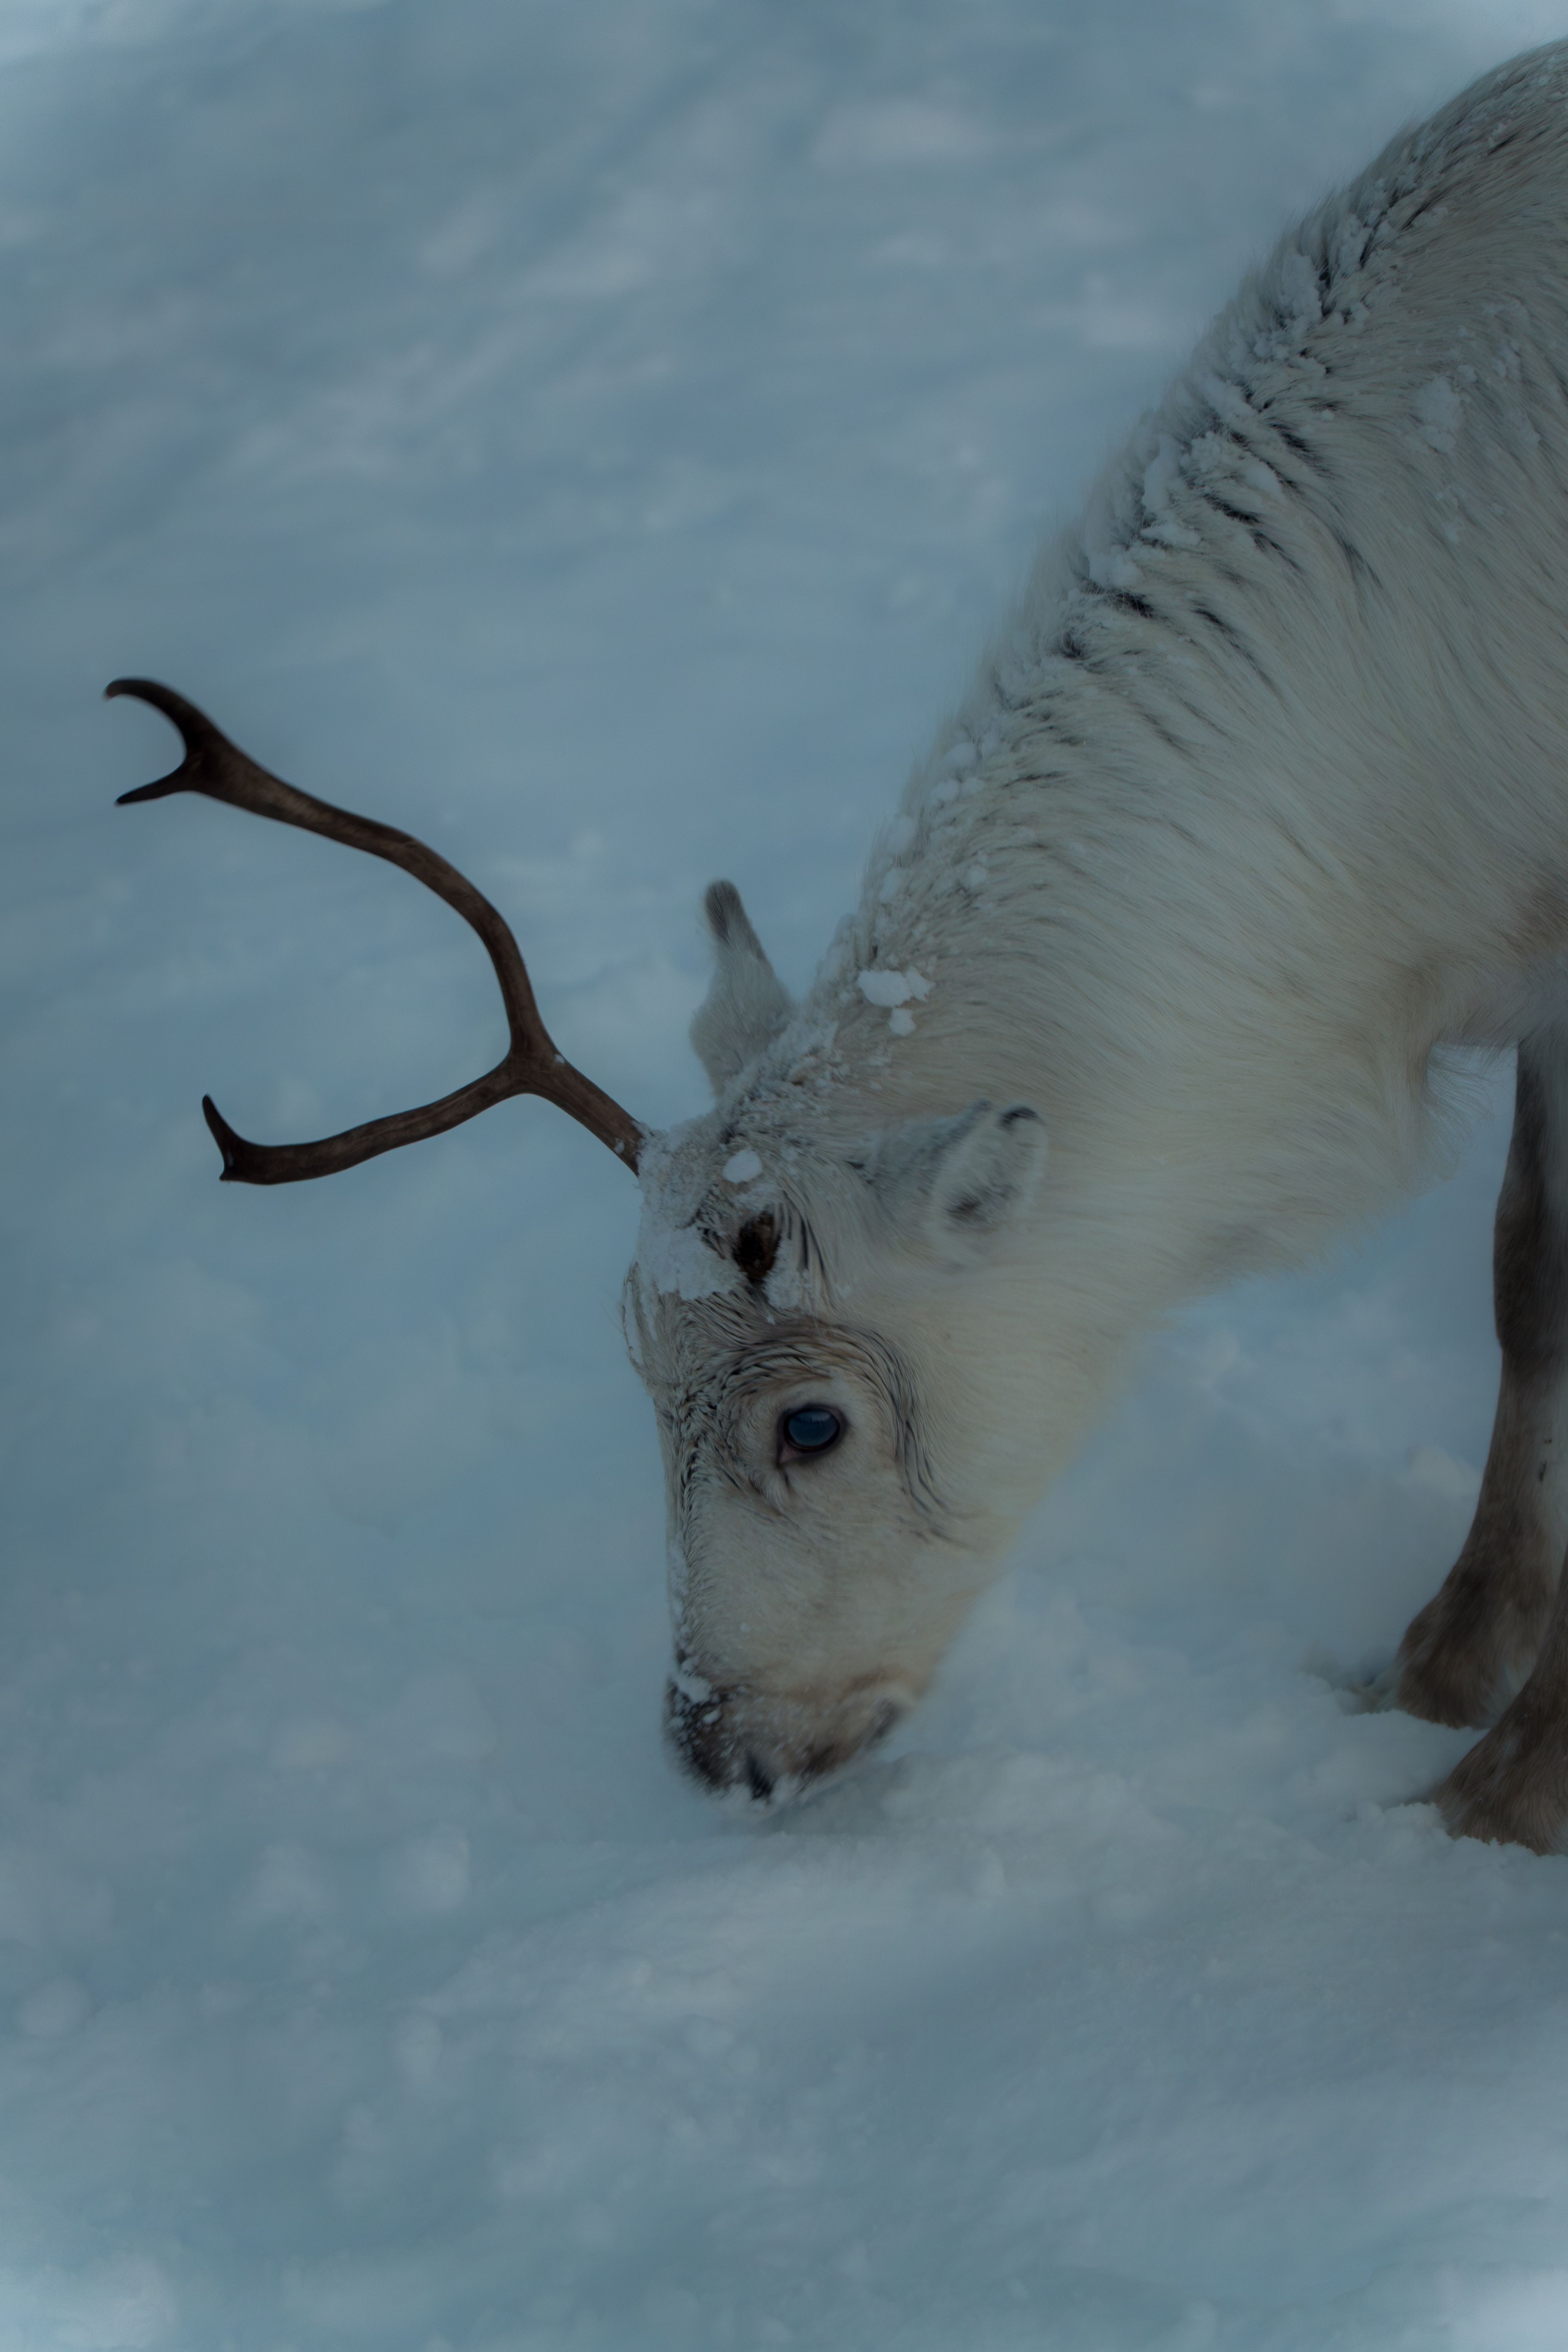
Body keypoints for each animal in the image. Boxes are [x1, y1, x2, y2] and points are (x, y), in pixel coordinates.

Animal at [113, 43, 1568, 1853]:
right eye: (632, 1371)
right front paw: (1439, 1668)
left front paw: (1506, 1793)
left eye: (813, 1424)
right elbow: (1528, 1278)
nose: (711, 1749)